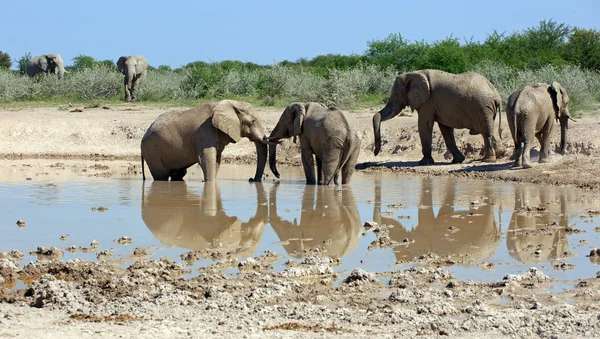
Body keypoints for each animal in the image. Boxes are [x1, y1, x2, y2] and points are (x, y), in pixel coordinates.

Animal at [141, 99, 270, 182]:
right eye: (252, 121)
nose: (251, 179)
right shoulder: (204, 133)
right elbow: (207, 160)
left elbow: (216, 160)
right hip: (152, 153)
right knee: (161, 176)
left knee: (178, 174)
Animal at [370, 69, 506, 165]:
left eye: (396, 95)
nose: (375, 153)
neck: (414, 73)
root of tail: (497, 95)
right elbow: (445, 129)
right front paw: (457, 160)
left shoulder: (428, 102)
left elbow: (424, 125)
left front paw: (423, 163)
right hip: (486, 108)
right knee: (490, 129)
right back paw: (498, 154)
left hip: (482, 107)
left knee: (486, 131)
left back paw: (487, 160)